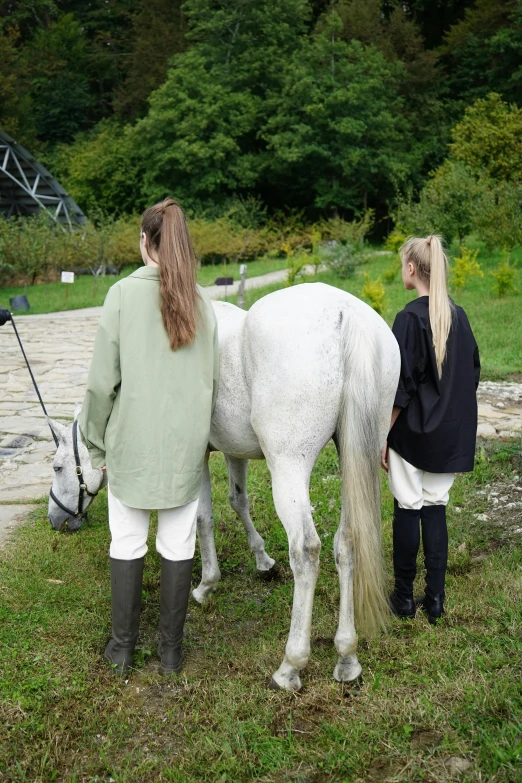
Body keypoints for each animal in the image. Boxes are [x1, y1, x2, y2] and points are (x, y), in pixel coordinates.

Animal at [48, 284, 398, 692]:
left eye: (57, 467)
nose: (55, 519)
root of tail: (344, 312)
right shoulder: (236, 452)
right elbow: (238, 500)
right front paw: (262, 560)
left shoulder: (196, 456)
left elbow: (202, 518)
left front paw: (206, 584)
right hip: (354, 456)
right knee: (347, 542)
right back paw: (346, 655)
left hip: (289, 468)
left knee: (307, 551)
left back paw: (291, 665)